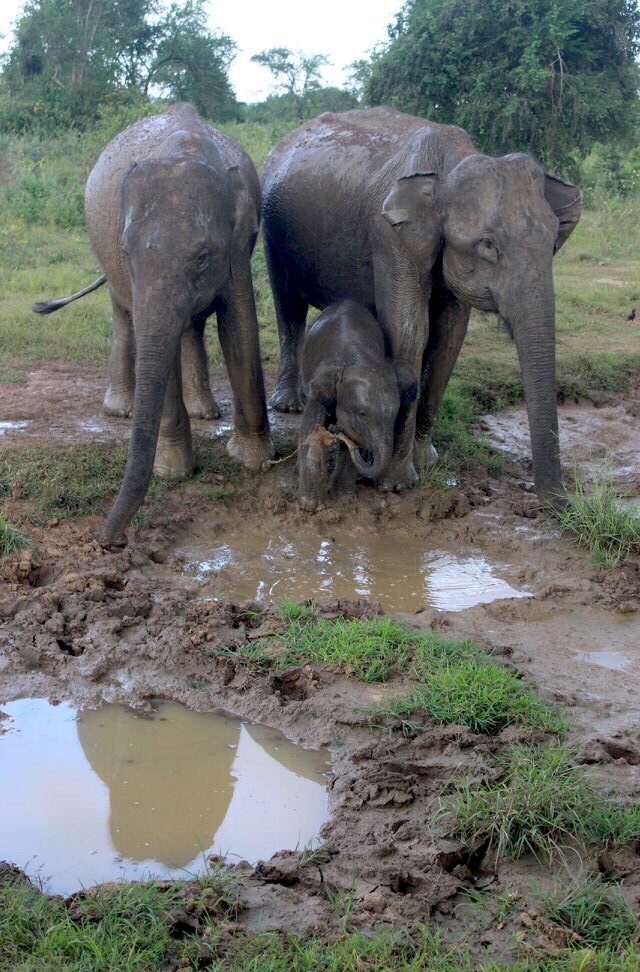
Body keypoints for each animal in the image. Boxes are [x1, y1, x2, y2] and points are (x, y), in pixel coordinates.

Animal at [34, 103, 272, 543]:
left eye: (202, 257)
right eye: (128, 251)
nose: (111, 540)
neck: (187, 149)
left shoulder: (237, 246)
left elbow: (239, 327)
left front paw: (253, 463)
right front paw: (174, 473)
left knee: (190, 325)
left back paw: (205, 411)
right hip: (103, 255)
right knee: (124, 314)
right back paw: (121, 411)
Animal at [297, 300, 417, 510]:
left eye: (395, 415)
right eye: (361, 414)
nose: (338, 431)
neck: (358, 356)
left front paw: (344, 499)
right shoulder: (320, 382)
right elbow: (311, 427)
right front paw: (312, 507)